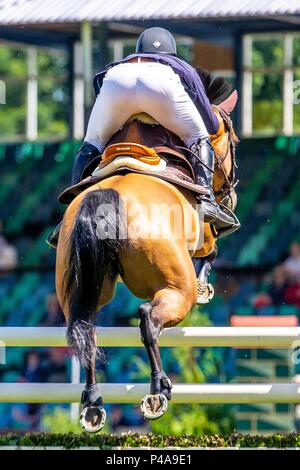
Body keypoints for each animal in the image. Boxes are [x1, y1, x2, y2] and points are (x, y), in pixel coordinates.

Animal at [54, 68, 239, 432]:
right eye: (234, 142)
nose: (232, 195)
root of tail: (107, 196)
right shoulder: (204, 236)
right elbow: (210, 253)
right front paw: (205, 288)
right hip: (175, 289)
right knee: (148, 319)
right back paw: (158, 390)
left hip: (82, 287)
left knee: (86, 328)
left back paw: (93, 404)